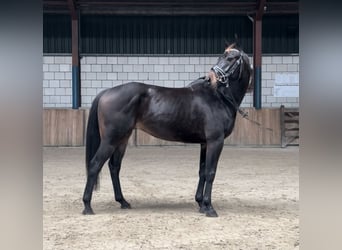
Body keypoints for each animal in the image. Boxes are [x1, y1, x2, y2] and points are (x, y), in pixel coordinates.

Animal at [82, 45, 251, 217]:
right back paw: (87, 206)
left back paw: (123, 201)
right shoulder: (215, 141)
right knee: (95, 165)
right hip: (110, 141)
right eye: (222, 57)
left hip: (122, 140)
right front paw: (209, 208)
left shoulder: (205, 143)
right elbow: (211, 172)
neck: (218, 97)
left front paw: (201, 204)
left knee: (114, 167)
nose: (210, 79)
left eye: (230, 59)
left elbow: (203, 172)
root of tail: (107, 92)